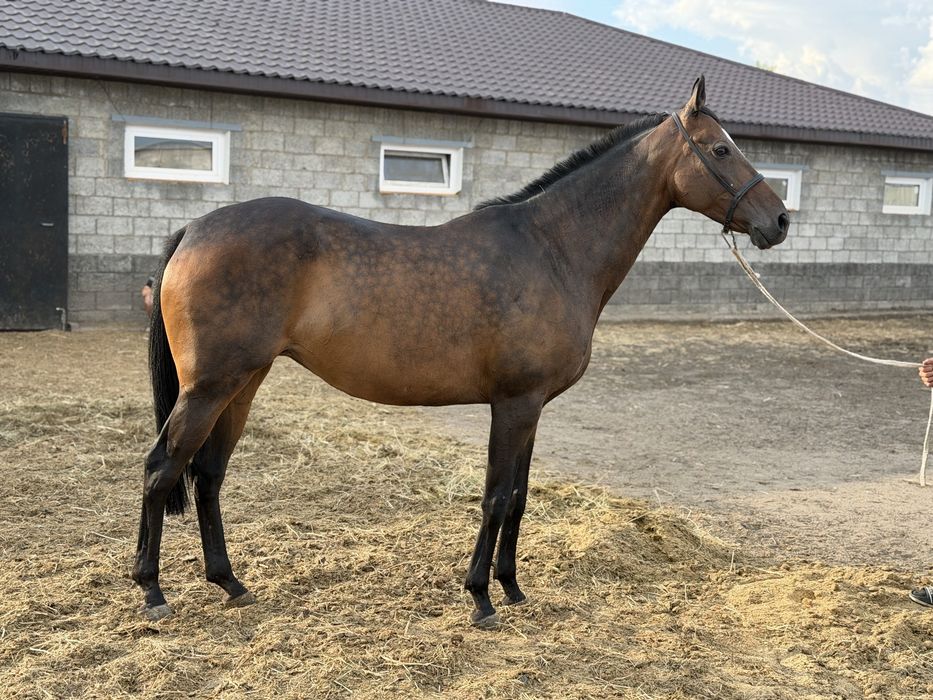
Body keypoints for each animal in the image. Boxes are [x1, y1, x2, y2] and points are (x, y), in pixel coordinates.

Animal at [133, 77, 789, 628]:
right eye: (721, 150)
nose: (779, 220)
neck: (552, 249)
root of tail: (194, 230)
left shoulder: (533, 407)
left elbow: (519, 498)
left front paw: (513, 588)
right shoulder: (514, 403)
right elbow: (496, 497)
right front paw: (480, 599)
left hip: (242, 384)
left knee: (208, 475)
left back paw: (230, 584)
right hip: (211, 387)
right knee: (162, 468)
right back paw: (152, 591)